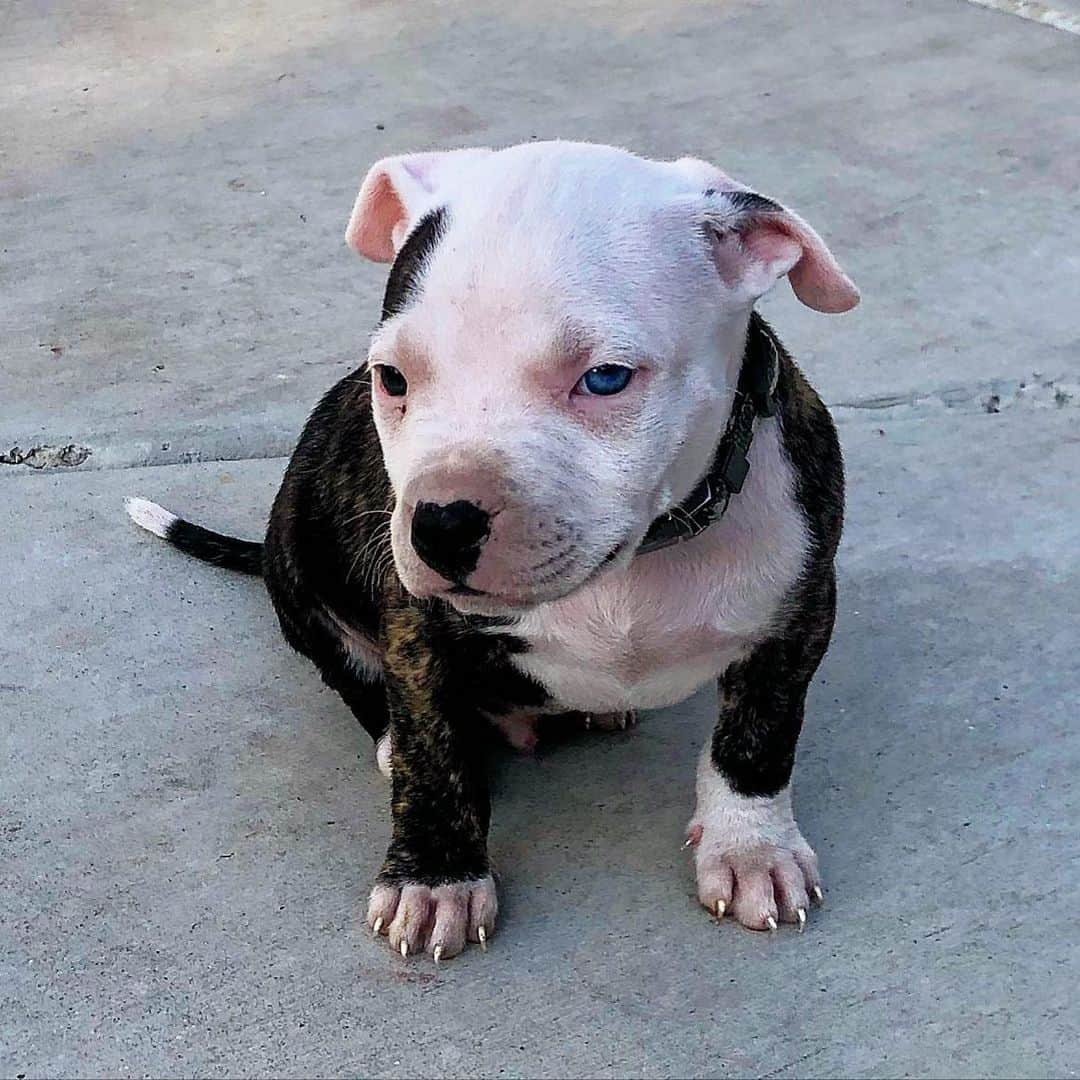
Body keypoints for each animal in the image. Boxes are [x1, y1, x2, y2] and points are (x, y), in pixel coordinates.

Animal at [126, 141, 855, 963]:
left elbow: (758, 738)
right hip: (302, 586)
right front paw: (435, 876)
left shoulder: (798, 613)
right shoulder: (414, 624)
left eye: (605, 378)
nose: (441, 523)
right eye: (392, 378)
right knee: (358, 684)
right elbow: (431, 746)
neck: (635, 565)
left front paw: (752, 848)